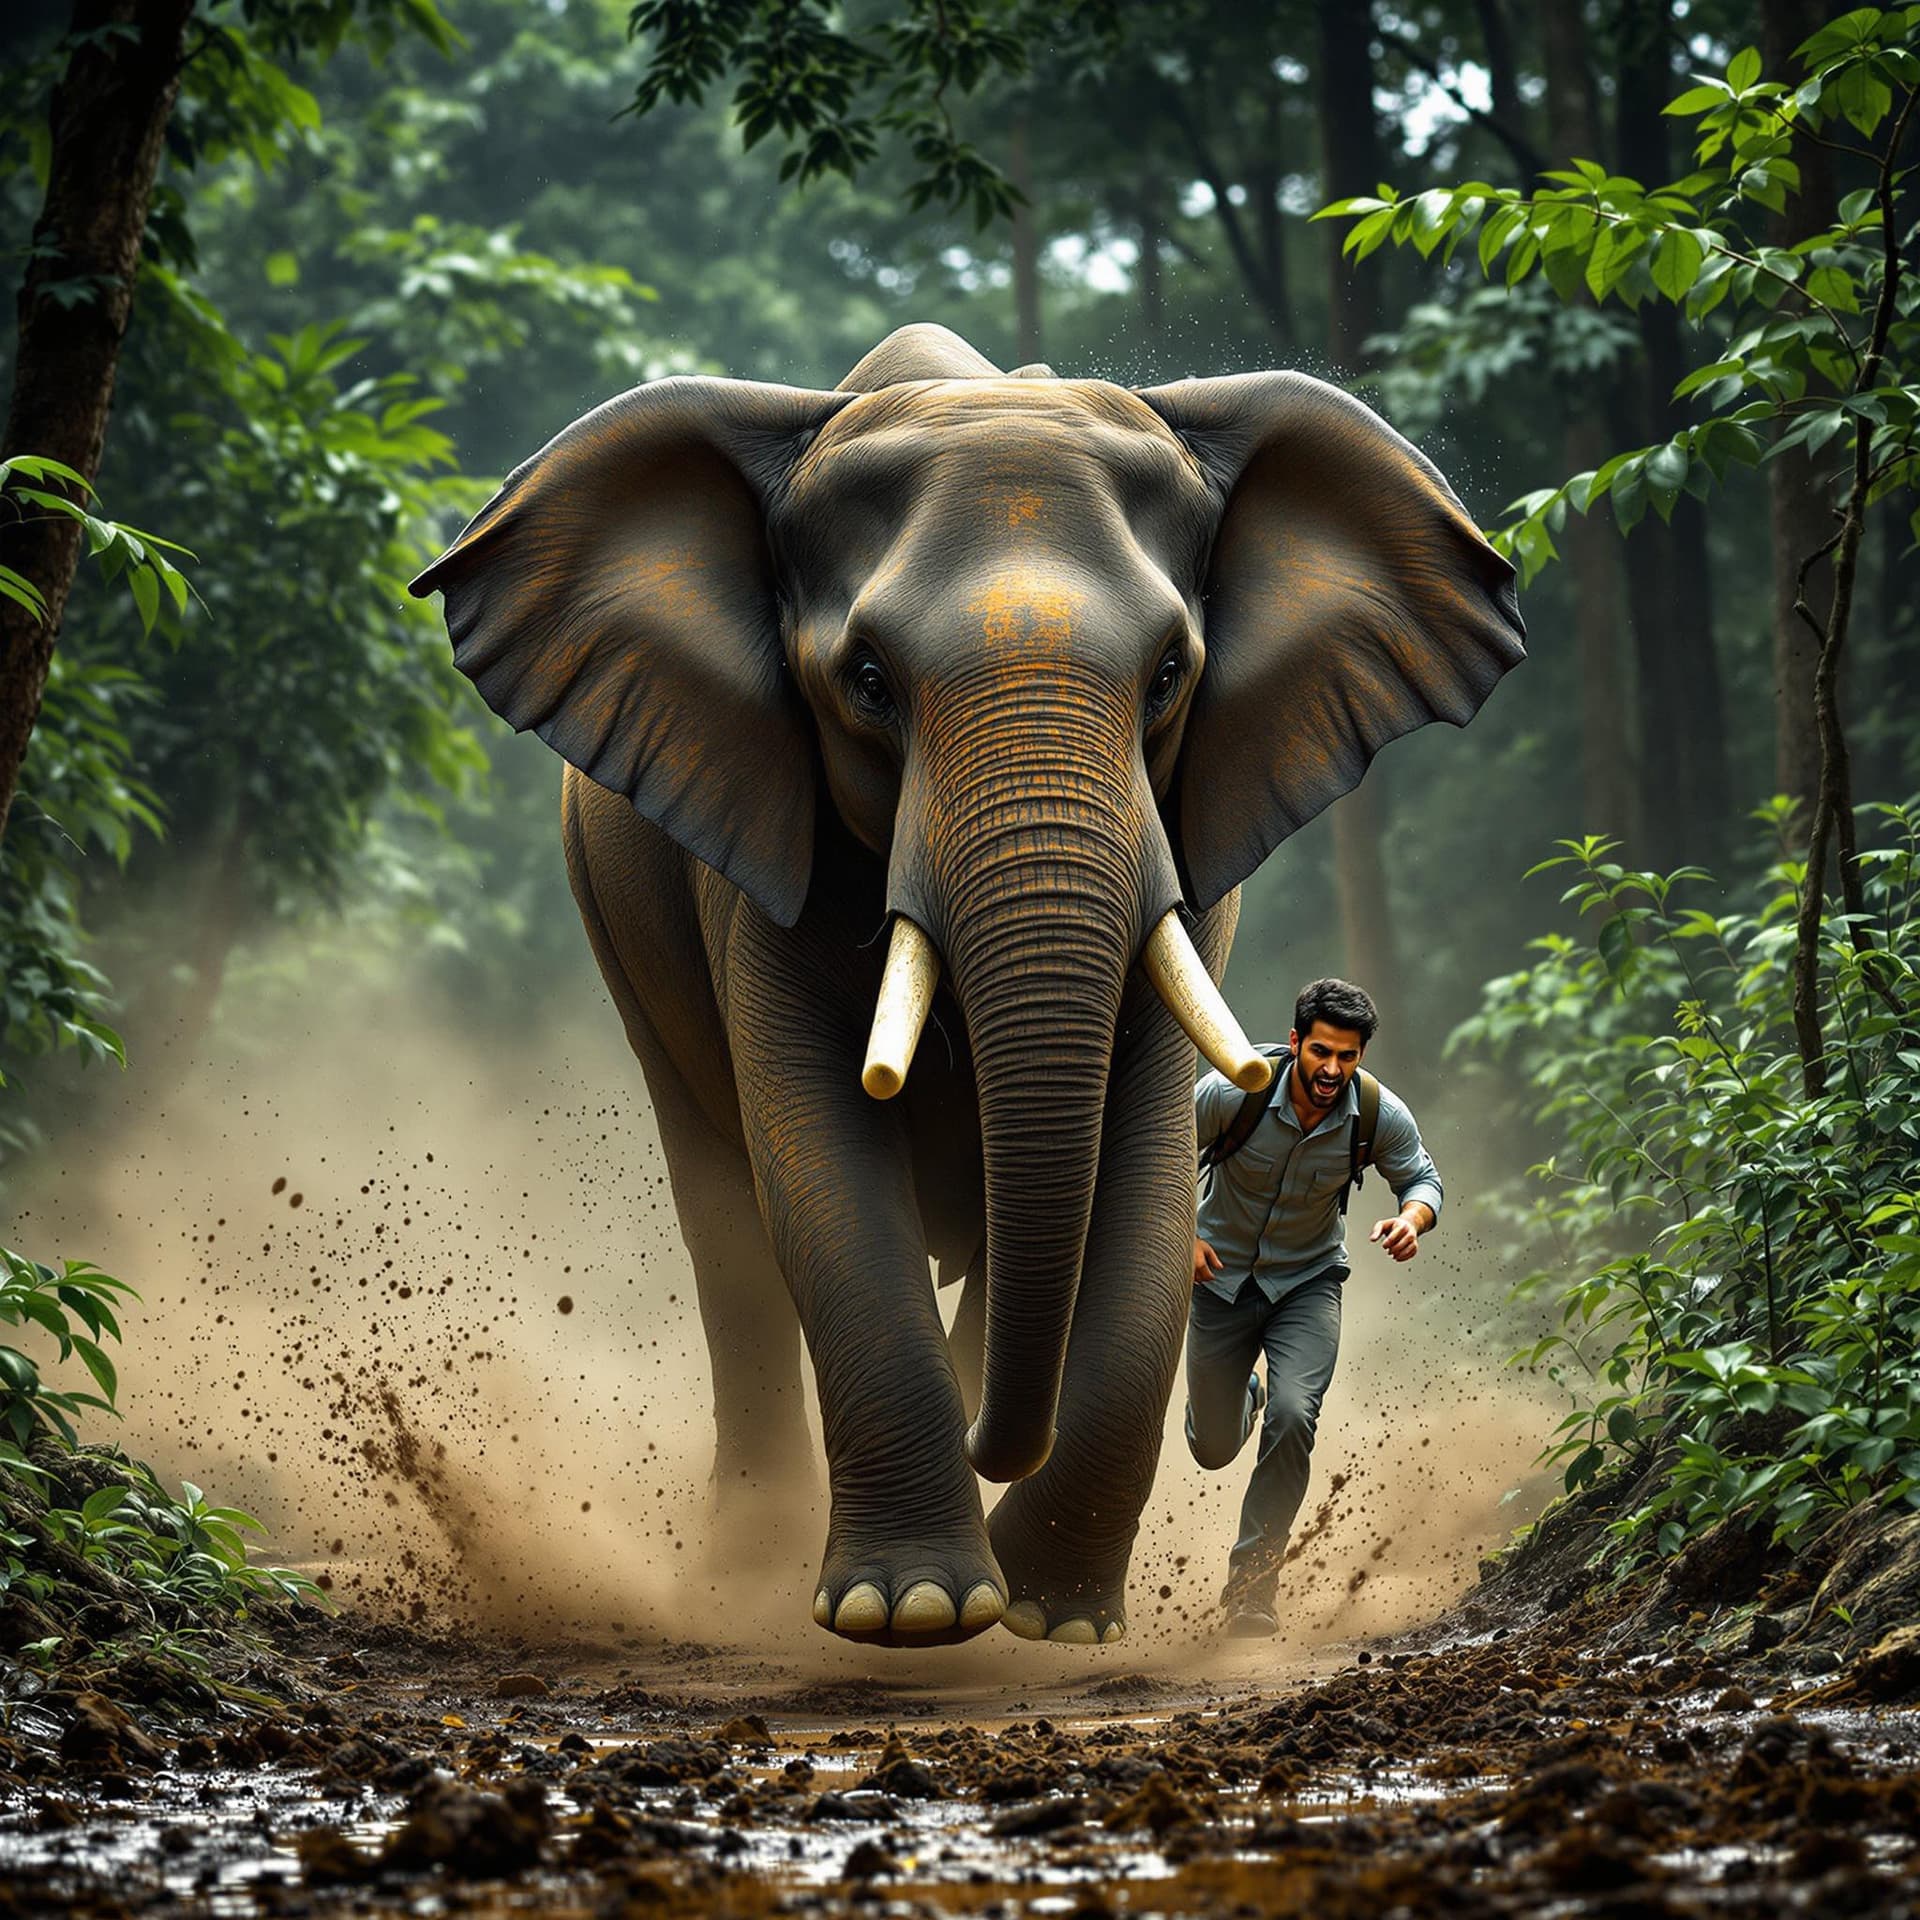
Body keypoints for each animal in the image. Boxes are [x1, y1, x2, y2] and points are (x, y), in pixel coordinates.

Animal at [410, 323, 1523, 1647]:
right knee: (726, 1222)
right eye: (868, 681)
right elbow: (820, 1157)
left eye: (1169, 675)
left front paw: (1056, 1620)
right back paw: (746, 1568)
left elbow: (1145, 1160)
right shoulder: (763, 856)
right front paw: (917, 1612)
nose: (997, 1443)